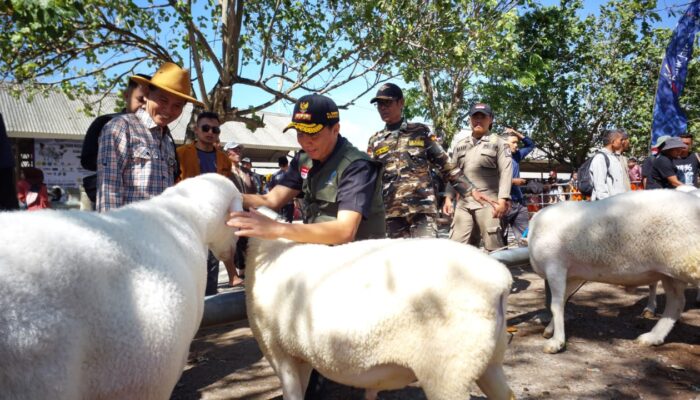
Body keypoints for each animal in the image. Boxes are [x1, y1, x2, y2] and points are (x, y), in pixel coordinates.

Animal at [532, 190, 700, 354]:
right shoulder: (573, 275)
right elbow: (564, 300)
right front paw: (550, 330)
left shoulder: (555, 266)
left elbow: (556, 305)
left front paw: (556, 342)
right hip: (670, 274)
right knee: (676, 303)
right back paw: (653, 337)